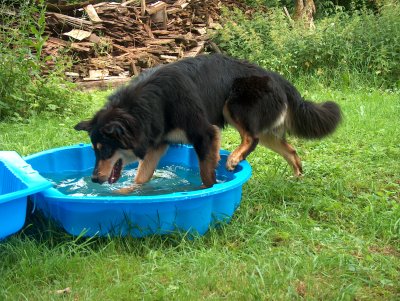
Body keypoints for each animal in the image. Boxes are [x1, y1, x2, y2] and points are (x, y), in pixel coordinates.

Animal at [74, 53, 340, 190]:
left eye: (105, 150)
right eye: (94, 151)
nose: (94, 179)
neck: (152, 102)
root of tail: (277, 77)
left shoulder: (205, 134)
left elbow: (205, 174)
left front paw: (206, 191)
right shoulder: (159, 143)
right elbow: (142, 177)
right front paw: (127, 194)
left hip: (233, 104)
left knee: (251, 138)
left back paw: (234, 158)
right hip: (267, 131)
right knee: (290, 150)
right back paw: (297, 179)